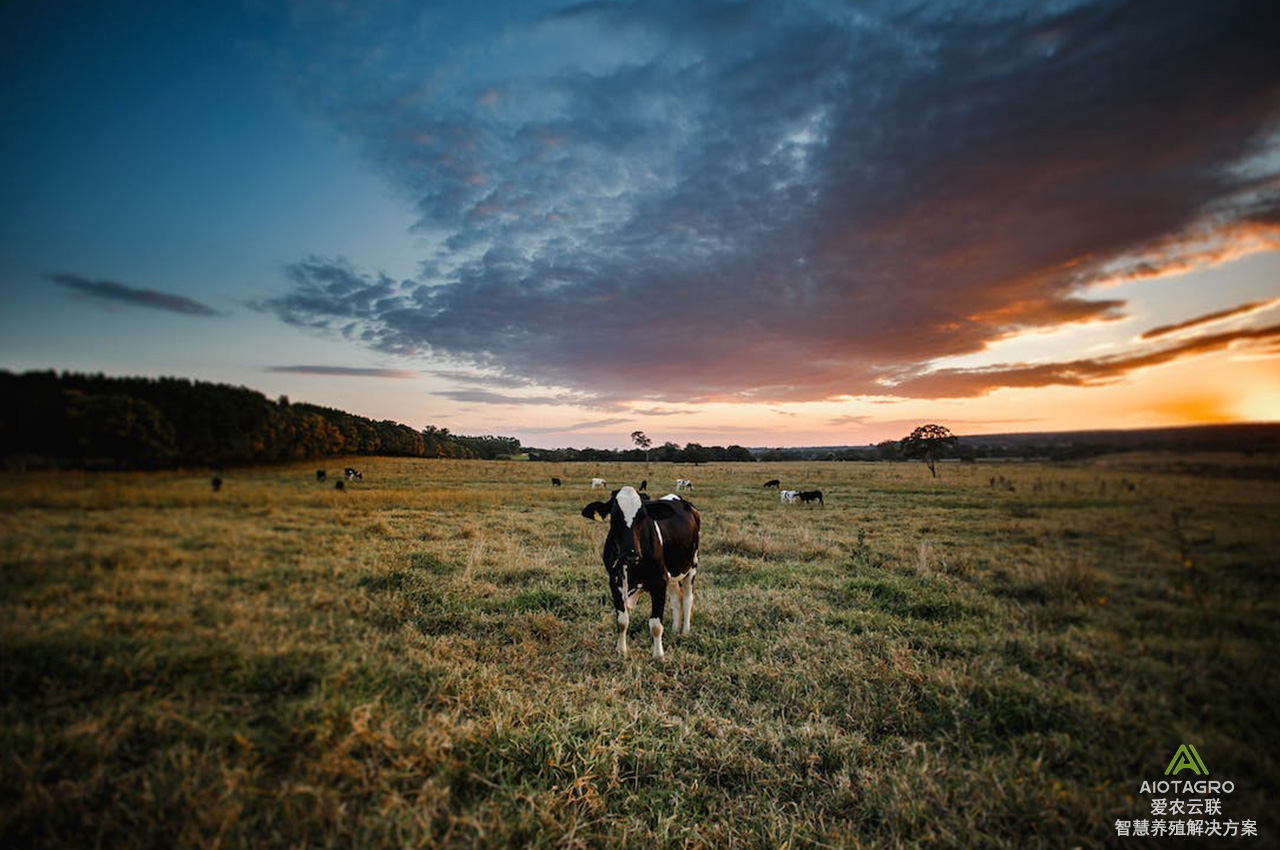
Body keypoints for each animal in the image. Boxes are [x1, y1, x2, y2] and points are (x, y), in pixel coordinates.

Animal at [581, 489, 701, 660]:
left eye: (643, 516)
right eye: (615, 515)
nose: (631, 555)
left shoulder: (659, 582)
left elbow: (656, 625)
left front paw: (658, 656)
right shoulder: (614, 582)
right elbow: (622, 621)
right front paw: (621, 650)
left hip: (692, 566)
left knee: (687, 598)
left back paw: (684, 632)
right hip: (671, 574)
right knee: (675, 598)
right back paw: (674, 630)